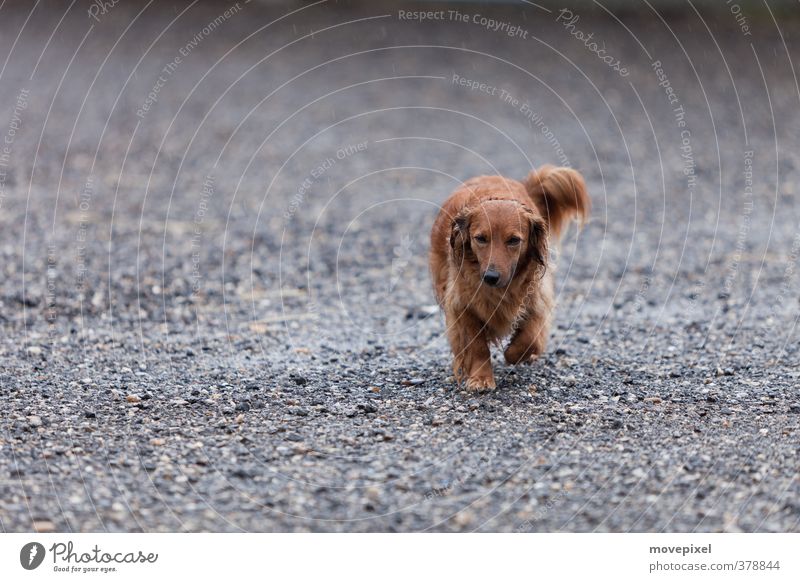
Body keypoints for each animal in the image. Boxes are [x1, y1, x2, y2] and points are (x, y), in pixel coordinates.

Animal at [432, 164, 588, 392]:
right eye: (481, 239)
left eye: (513, 240)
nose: (491, 277)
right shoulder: (462, 307)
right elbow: (477, 346)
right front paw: (481, 378)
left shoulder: (536, 301)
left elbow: (529, 340)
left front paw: (513, 354)